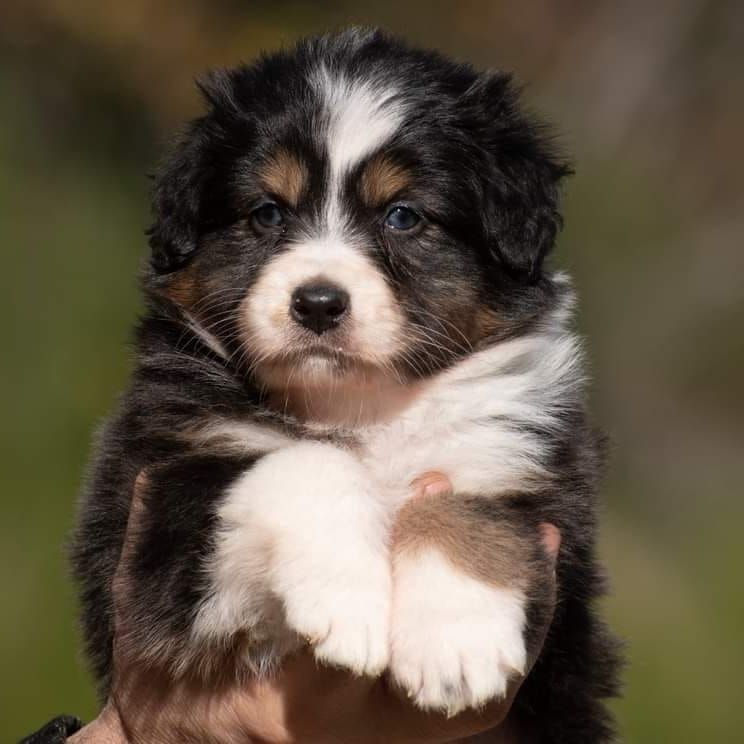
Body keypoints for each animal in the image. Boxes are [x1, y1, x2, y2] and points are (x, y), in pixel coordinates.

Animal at [72, 26, 620, 740]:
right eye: (268, 213)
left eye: (403, 216)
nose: (318, 304)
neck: (362, 407)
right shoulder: (159, 501)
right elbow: (304, 462)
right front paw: (350, 606)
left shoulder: (526, 465)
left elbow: (466, 506)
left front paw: (457, 646)